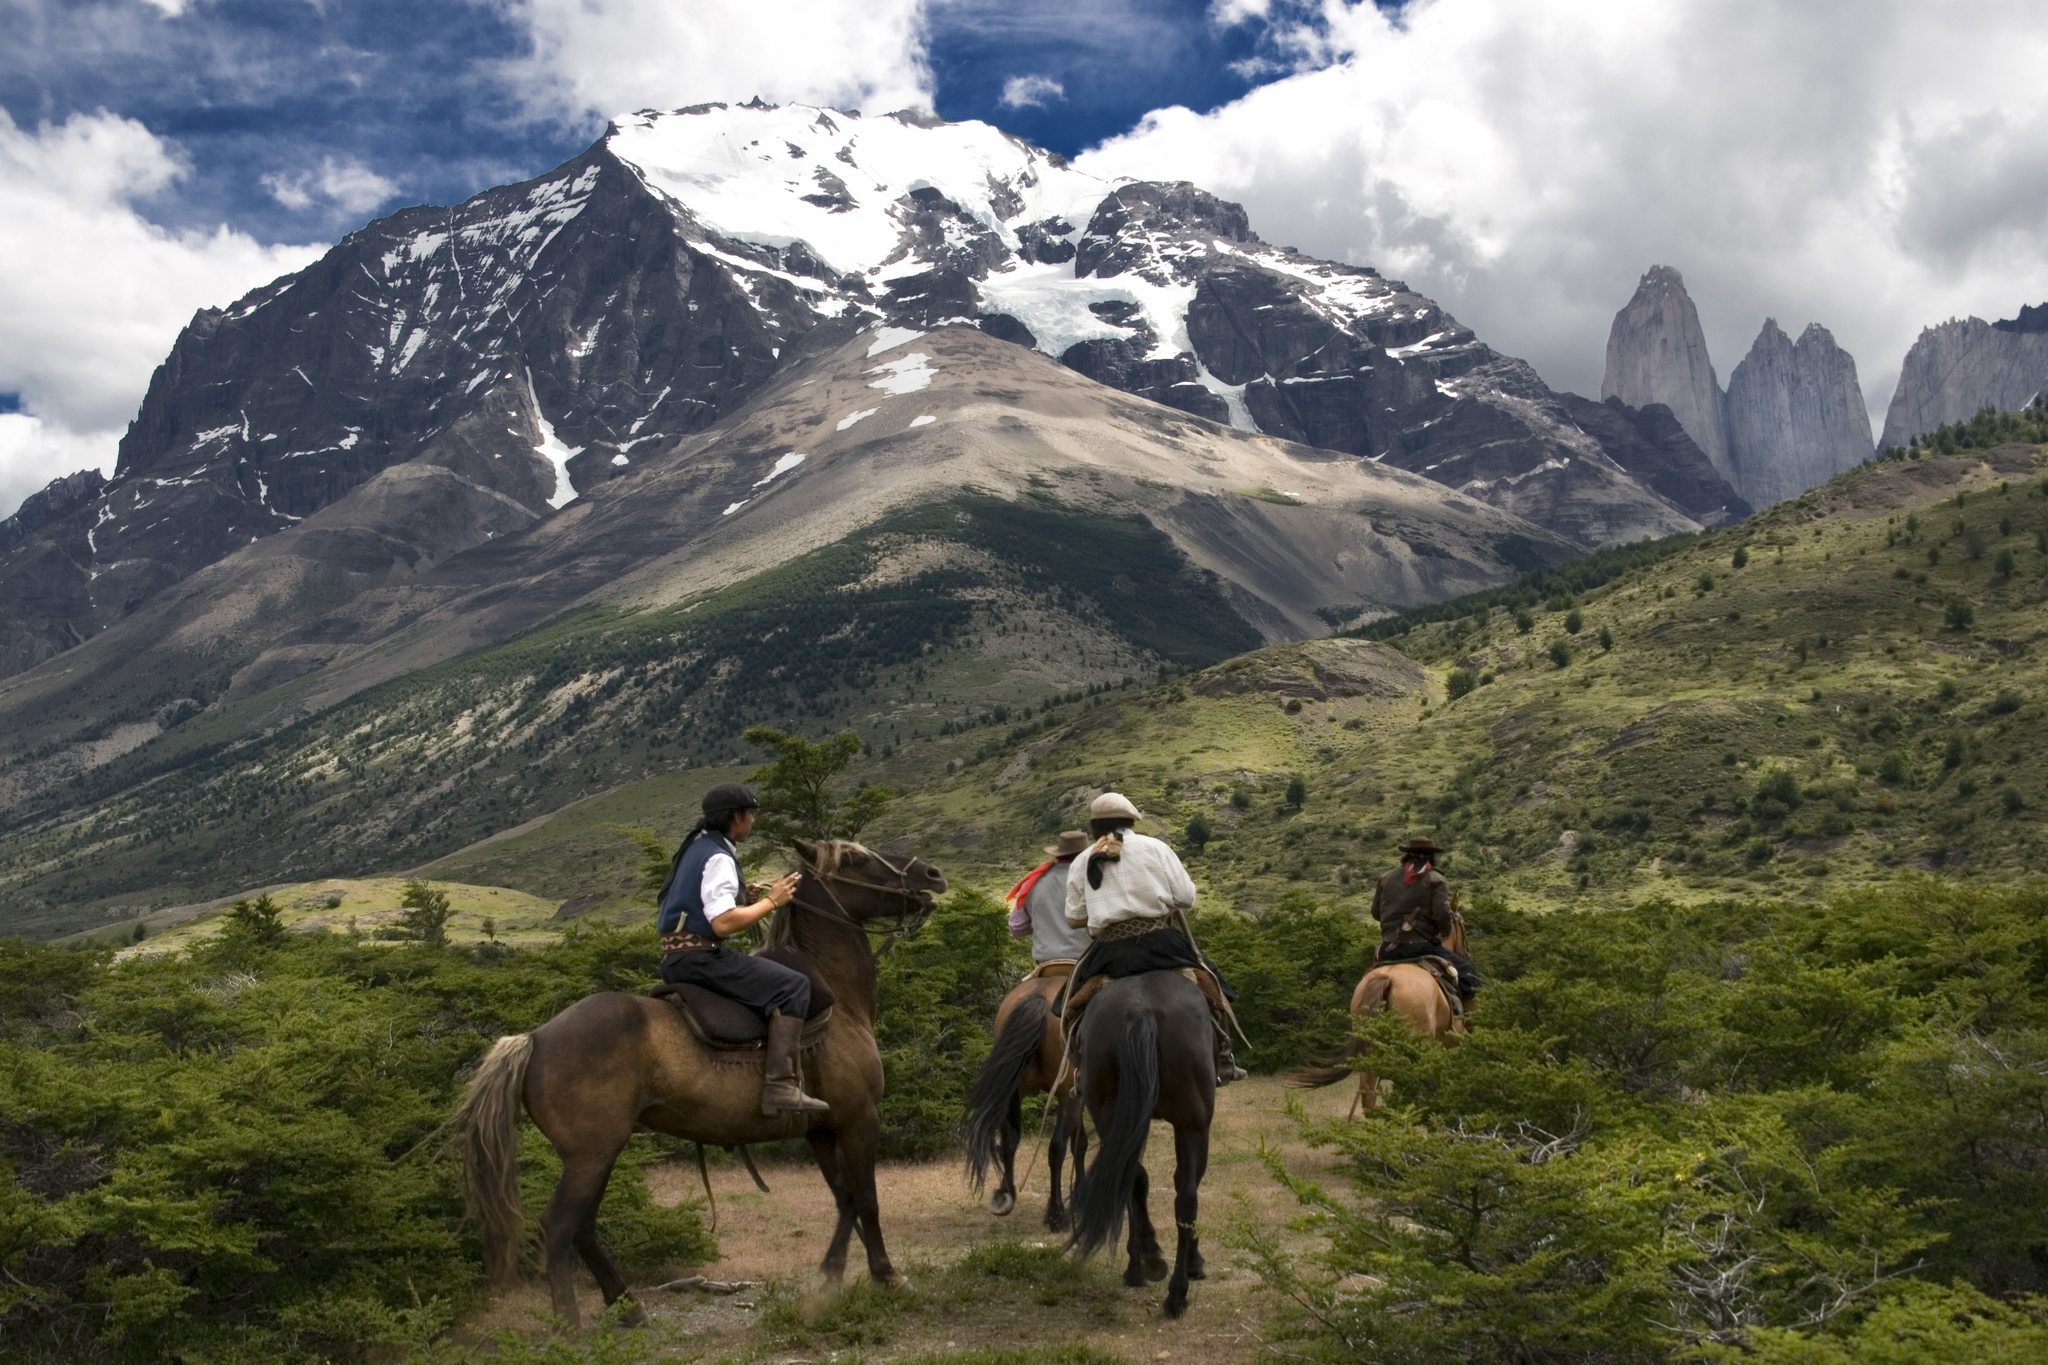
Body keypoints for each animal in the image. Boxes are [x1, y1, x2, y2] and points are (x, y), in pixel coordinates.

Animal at [448, 839, 942, 1326]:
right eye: (857, 859)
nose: (932, 875)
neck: (838, 1000)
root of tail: (534, 1038)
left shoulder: (821, 1129)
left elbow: (844, 1200)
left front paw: (830, 1277)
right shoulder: (860, 1120)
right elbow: (866, 1199)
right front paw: (887, 1276)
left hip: (598, 1154)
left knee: (583, 1227)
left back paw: (629, 1307)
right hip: (591, 1155)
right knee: (559, 1226)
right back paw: (570, 1325)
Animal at [962, 965, 1089, 1236]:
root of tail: (1037, 998)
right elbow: (1078, 1143)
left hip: (1012, 1092)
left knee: (1008, 1140)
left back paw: (1005, 1196)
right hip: (1066, 1093)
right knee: (1056, 1147)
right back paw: (1056, 1215)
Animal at [1064, 965, 1204, 1317]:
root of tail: (1141, 1011)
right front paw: (1194, 1261)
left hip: (1112, 1113)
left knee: (1135, 1178)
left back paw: (1152, 1268)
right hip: (1192, 1122)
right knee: (1185, 1194)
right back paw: (1172, 1287)